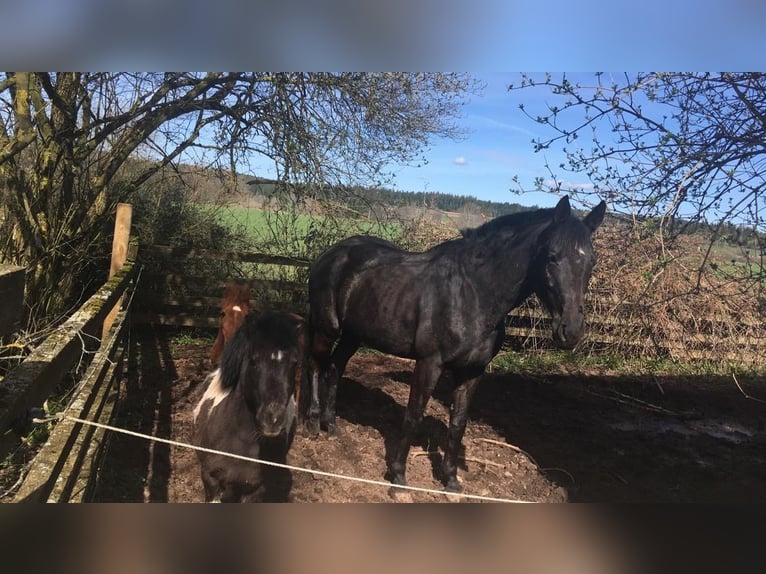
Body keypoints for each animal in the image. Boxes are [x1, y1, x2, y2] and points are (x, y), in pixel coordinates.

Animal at [308, 198, 608, 496]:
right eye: (552, 256)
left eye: (591, 260)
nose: (571, 330)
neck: (474, 294)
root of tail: (334, 252)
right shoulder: (429, 363)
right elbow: (413, 417)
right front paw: (399, 478)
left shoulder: (472, 371)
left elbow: (457, 424)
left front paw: (451, 481)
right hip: (326, 328)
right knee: (316, 365)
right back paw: (312, 424)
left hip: (353, 334)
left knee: (334, 368)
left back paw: (331, 425)